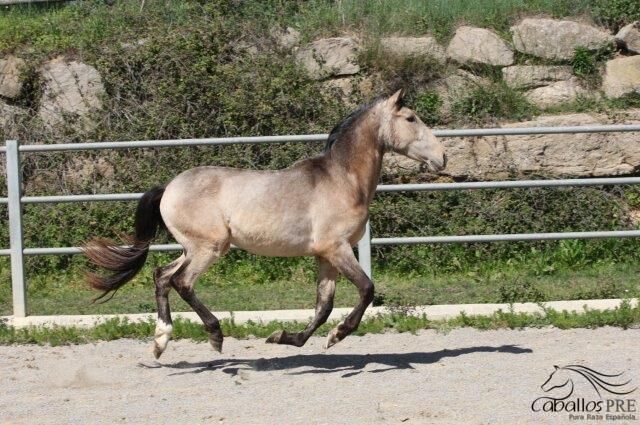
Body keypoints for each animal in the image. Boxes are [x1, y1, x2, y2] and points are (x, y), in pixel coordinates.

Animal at [84, 89, 444, 358]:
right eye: (411, 118)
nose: (442, 158)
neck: (342, 179)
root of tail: (168, 188)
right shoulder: (338, 248)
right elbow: (367, 289)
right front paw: (337, 335)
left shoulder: (325, 255)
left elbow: (323, 306)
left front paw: (284, 337)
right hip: (209, 248)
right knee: (181, 282)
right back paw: (215, 336)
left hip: (192, 248)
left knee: (161, 276)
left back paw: (161, 342)